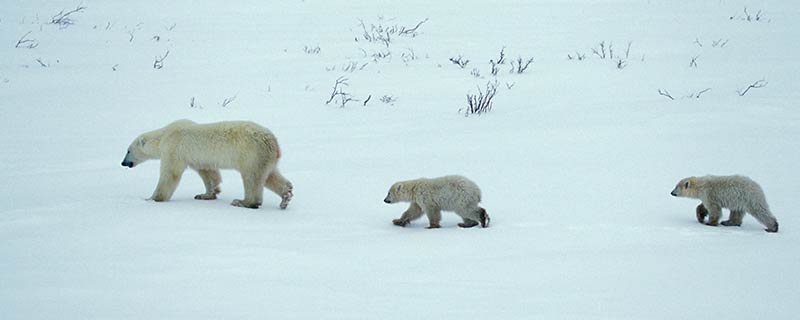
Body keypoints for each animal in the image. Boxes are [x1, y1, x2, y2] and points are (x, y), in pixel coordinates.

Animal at [120, 119, 292, 209]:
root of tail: (273, 141)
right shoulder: (199, 158)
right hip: (264, 157)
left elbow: (170, 173)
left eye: (128, 150)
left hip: (251, 153)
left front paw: (152, 198)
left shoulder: (173, 148)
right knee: (269, 176)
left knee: (252, 177)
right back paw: (286, 195)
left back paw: (243, 201)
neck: (163, 136)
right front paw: (205, 194)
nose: (123, 163)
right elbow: (209, 173)